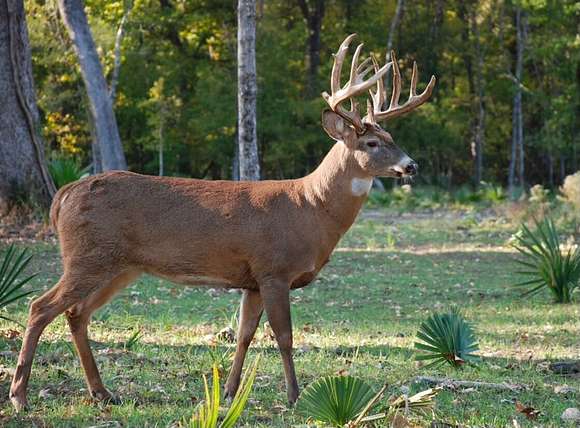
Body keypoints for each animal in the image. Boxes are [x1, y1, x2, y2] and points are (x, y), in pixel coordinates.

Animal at [10, 32, 436, 408]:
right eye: (372, 143)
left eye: (392, 136)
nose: (412, 165)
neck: (310, 209)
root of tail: (63, 195)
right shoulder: (274, 269)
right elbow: (284, 336)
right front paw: (294, 397)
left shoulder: (251, 280)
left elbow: (245, 334)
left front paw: (229, 392)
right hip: (88, 256)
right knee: (40, 306)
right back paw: (20, 396)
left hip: (120, 266)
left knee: (76, 313)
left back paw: (102, 393)